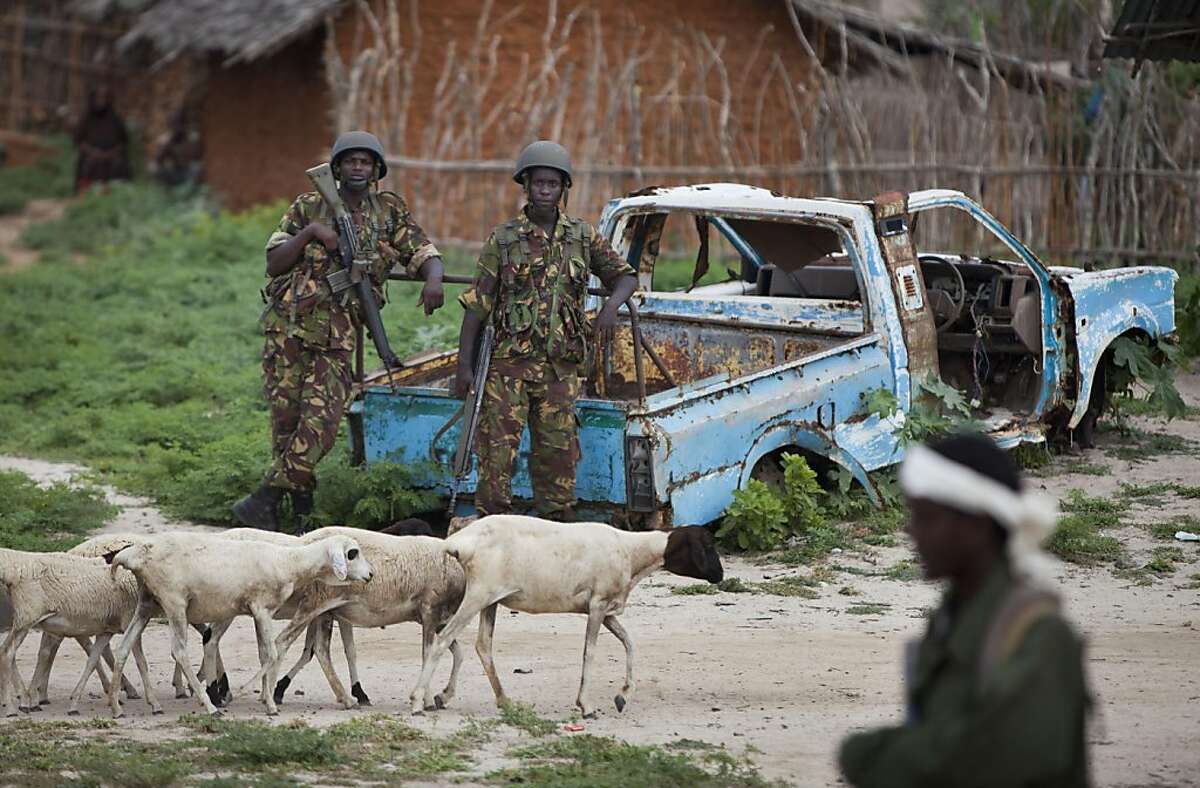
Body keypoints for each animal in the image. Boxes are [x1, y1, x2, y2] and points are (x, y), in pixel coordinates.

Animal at [0, 544, 158, 714]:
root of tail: (15, 570)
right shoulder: (129, 621)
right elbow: (141, 662)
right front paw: (154, 704)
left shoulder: (107, 629)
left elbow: (92, 660)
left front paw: (75, 703)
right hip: (26, 618)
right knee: (8, 654)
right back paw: (14, 706)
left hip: (23, 621)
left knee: (6, 651)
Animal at [103, 532, 369, 714]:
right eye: (352, 553)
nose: (370, 575)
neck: (287, 562)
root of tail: (135, 555)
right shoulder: (262, 608)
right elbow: (272, 654)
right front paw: (250, 696)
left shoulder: (258, 612)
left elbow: (264, 654)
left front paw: (267, 700)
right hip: (174, 602)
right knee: (179, 651)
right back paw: (209, 705)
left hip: (146, 604)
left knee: (123, 647)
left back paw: (119, 706)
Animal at [408, 513, 720, 714]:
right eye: (706, 544)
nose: (719, 575)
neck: (633, 553)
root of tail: (458, 541)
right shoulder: (598, 605)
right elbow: (589, 652)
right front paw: (586, 705)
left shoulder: (607, 610)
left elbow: (629, 643)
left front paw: (622, 696)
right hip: (478, 595)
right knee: (442, 641)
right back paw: (417, 700)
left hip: (489, 600)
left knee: (483, 646)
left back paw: (500, 700)